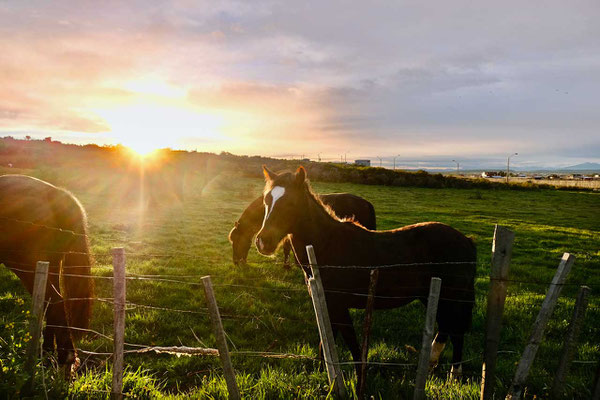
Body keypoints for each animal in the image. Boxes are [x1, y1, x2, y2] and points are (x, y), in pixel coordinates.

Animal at [0, 175, 94, 372]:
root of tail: (55, 193)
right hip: (48, 267)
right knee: (51, 302)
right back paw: (48, 355)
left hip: (28, 266)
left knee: (54, 302)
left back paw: (64, 357)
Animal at [255, 166, 476, 382]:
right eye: (267, 201)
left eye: (291, 202)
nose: (263, 242)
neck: (329, 244)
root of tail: (466, 240)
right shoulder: (329, 305)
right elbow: (326, 344)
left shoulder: (338, 306)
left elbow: (351, 345)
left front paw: (357, 378)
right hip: (433, 297)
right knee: (446, 328)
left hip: (451, 298)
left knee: (456, 332)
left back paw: (454, 375)